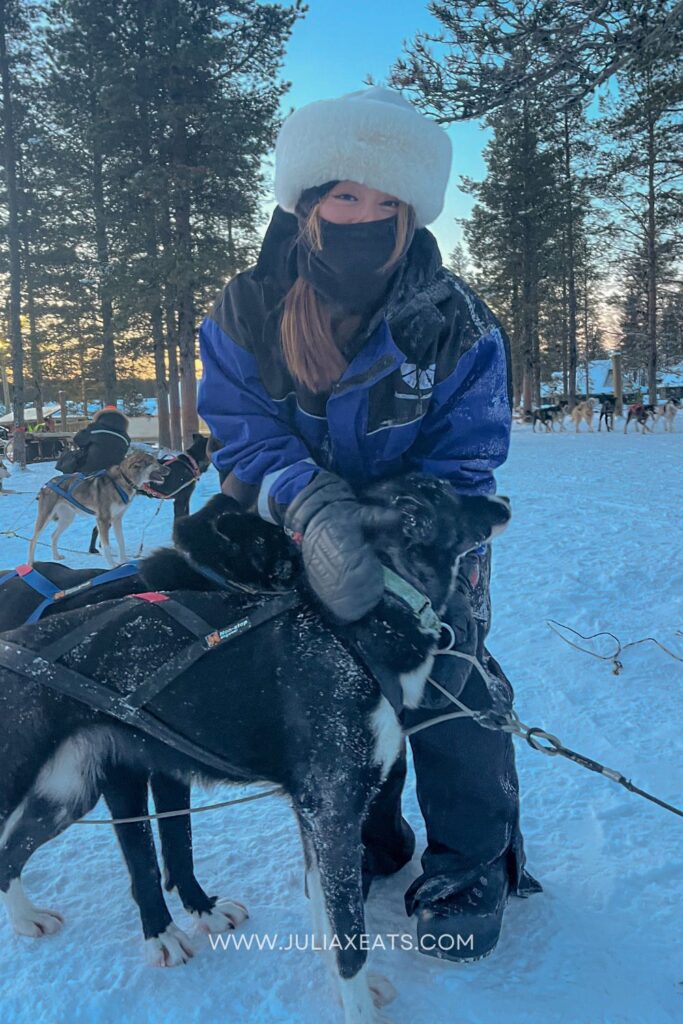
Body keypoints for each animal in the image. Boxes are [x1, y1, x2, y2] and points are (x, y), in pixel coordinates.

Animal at [28, 452, 169, 569]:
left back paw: (56, 557)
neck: (123, 481)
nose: (169, 469)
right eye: (154, 462)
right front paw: (112, 565)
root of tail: (46, 484)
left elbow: (121, 541)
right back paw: (30, 564)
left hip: (67, 519)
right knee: (33, 540)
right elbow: (106, 546)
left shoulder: (117, 519)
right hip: (45, 518)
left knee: (53, 536)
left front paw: (123, 561)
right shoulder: (103, 519)